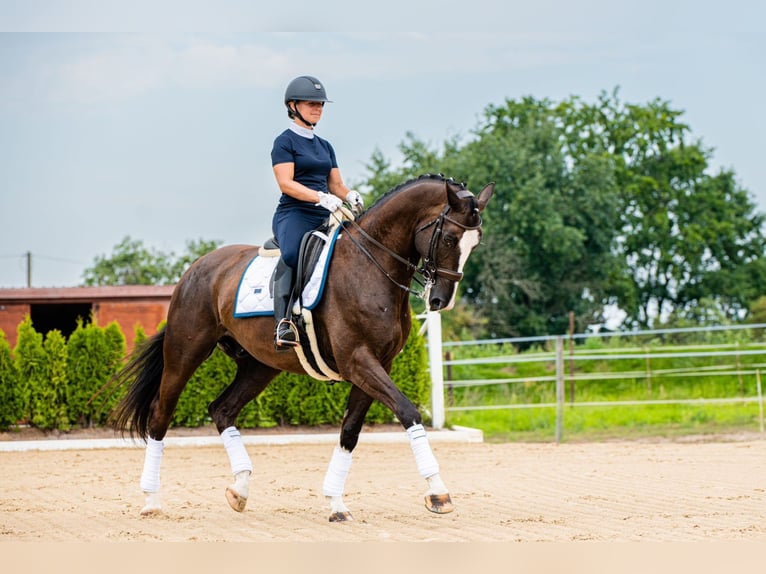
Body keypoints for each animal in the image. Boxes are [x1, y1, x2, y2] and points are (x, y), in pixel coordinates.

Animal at [111, 174, 496, 520]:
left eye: (475, 243)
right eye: (450, 238)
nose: (440, 300)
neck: (371, 266)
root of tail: (195, 269)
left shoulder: (376, 364)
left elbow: (349, 431)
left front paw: (336, 503)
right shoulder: (358, 361)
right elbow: (408, 411)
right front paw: (438, 492)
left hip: (259, 366)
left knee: (221, 409)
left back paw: (240, 489)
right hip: (185, 352)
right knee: (161, 415)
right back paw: (151, 500)